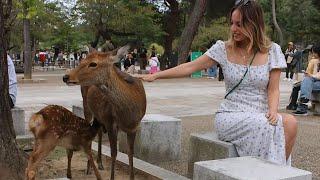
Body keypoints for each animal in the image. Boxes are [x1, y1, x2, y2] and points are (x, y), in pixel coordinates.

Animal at [62, 45, 148, 180]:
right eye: (82, 60)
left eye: (93, 63)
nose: (66, 77)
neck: (128, 114)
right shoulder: (111, 122)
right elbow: (114, 153)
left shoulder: (134, 126)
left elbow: (131, 153)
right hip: (87, 107)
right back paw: (89, 168)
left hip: (99, 115)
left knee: (99, 133)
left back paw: (100, 163)